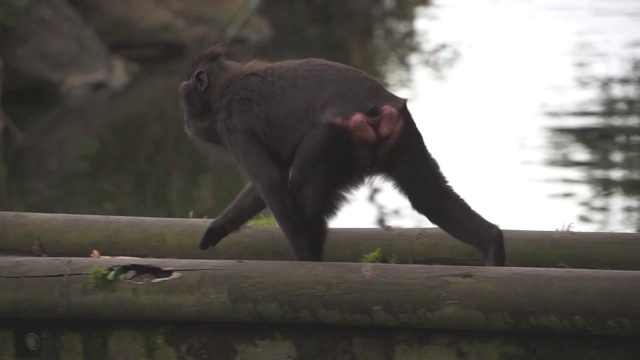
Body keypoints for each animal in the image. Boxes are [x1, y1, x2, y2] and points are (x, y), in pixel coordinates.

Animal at [180, 45, 504, 266]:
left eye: (185, 96)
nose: (186, 122)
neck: (226, 85)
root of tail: (375, 112)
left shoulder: (231, 122)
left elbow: (270, 181)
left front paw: (305, 259)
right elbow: (266, 183)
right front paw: (218, 228)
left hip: (332, 139)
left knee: (304, 187)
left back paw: (312, 260)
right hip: (402, 134)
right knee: (427, 194)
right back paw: (491, 241)